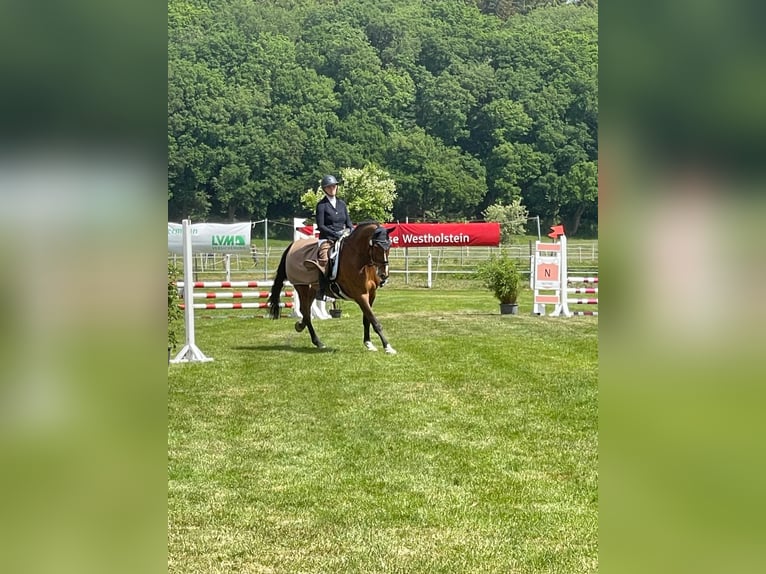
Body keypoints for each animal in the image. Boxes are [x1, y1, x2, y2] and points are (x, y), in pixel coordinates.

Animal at [270, 222, 400, 354]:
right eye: (377, 246)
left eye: (389, 245)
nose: (384, 275)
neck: (360, 260)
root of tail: (293, 246)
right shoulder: (360, 295)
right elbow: (374, 320)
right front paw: (388, 347)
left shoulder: (371, 294)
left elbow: (367, 319)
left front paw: (369, 343)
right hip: (302, 286)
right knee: (305, 311)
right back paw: (317, 340)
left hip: (312, 289)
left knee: (306, 312)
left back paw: (302, 328)